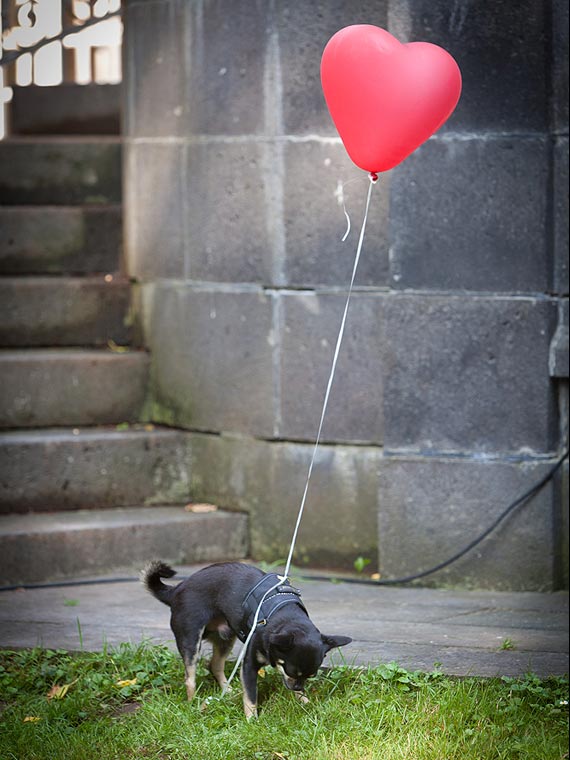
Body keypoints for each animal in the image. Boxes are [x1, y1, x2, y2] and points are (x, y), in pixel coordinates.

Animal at [141, 560, 350, 720]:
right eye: (290, 671)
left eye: (310, 676)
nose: (297, 686)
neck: (283, 616)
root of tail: (177, 589)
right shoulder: (249, 666)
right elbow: (251, 697)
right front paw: (252, 721)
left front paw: (303, 700)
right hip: (191, 640)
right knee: (190, 678)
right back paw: (193, 703)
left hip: (225, 639)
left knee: (214, 665)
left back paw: (227, 691)